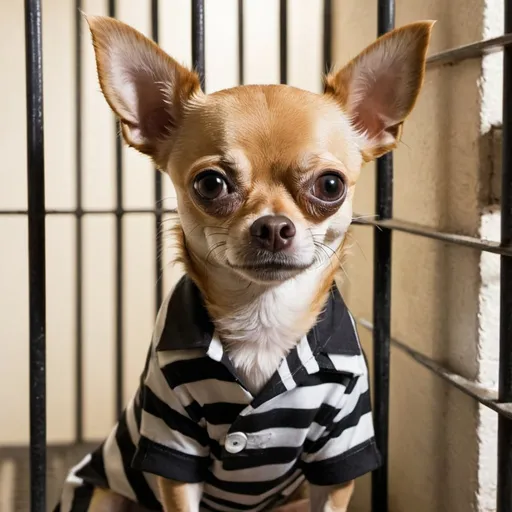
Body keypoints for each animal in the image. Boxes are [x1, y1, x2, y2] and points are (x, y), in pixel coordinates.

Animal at [55, 15, 432, 512]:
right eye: (211, 184)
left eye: (330, 185)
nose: (272, 226)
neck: (262, 318)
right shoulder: (172, 441)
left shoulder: (339, 448)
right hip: (105, 495)